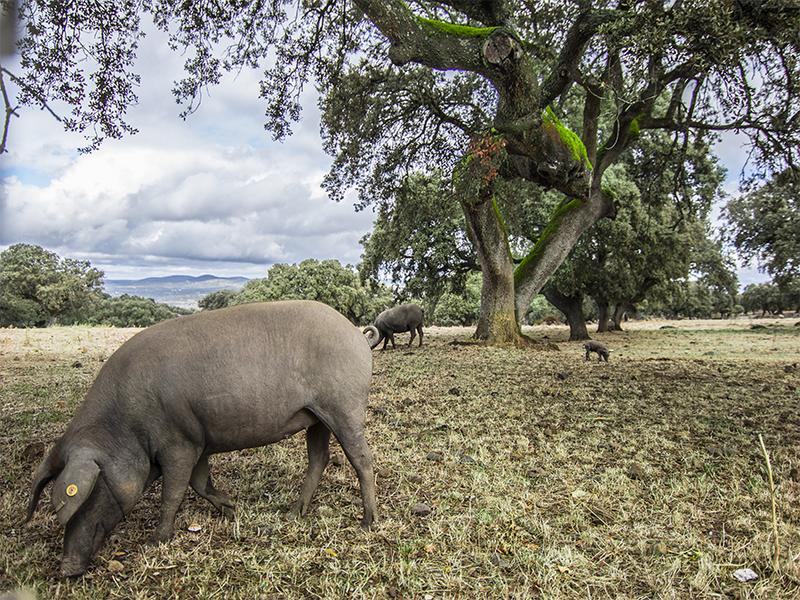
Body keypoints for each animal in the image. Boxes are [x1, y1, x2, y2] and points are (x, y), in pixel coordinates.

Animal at [25, 301, 377, 577]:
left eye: (91, 492)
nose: (65, 569)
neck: (125, 426)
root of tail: (355, 333)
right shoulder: (197, 440)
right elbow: (199, 482)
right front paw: (232, 509)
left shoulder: (178, 442)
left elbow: (174, 492)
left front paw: (155, 541)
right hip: (315, 416)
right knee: (319, 458)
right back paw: (294, 513)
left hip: (344, 405)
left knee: (362, 459)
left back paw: (368, 522)